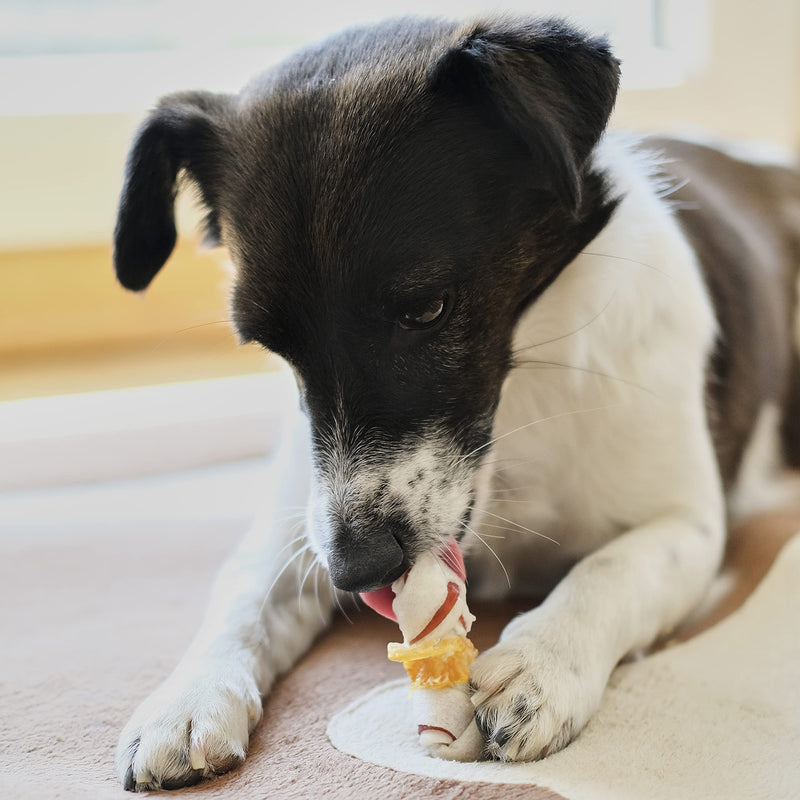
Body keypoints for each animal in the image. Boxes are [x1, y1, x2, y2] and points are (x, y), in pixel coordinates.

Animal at [111, 15, 800, 792]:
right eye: (269, 343)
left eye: (427, 309)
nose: (356, 570)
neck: (517, 403)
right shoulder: (296, 528)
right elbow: (241, 593)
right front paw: (187, 699)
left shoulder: (686, 524)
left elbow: (608, 570)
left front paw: (540, 664)